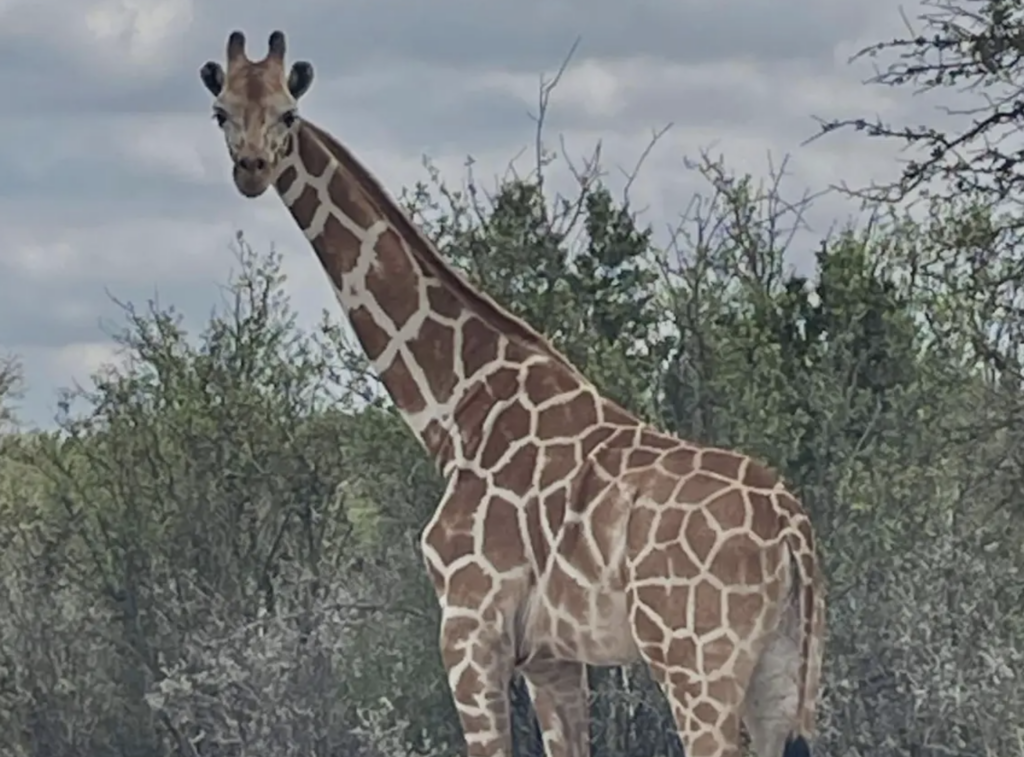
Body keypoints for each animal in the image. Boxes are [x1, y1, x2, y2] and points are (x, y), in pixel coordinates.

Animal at [198, 30, 825, 757]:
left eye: (289, 114)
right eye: (222, 110)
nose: (251, 168)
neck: (457, 408)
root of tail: (793, 528)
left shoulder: (469, 623)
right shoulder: (552, 655)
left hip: (696, 659)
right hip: (780, 671)